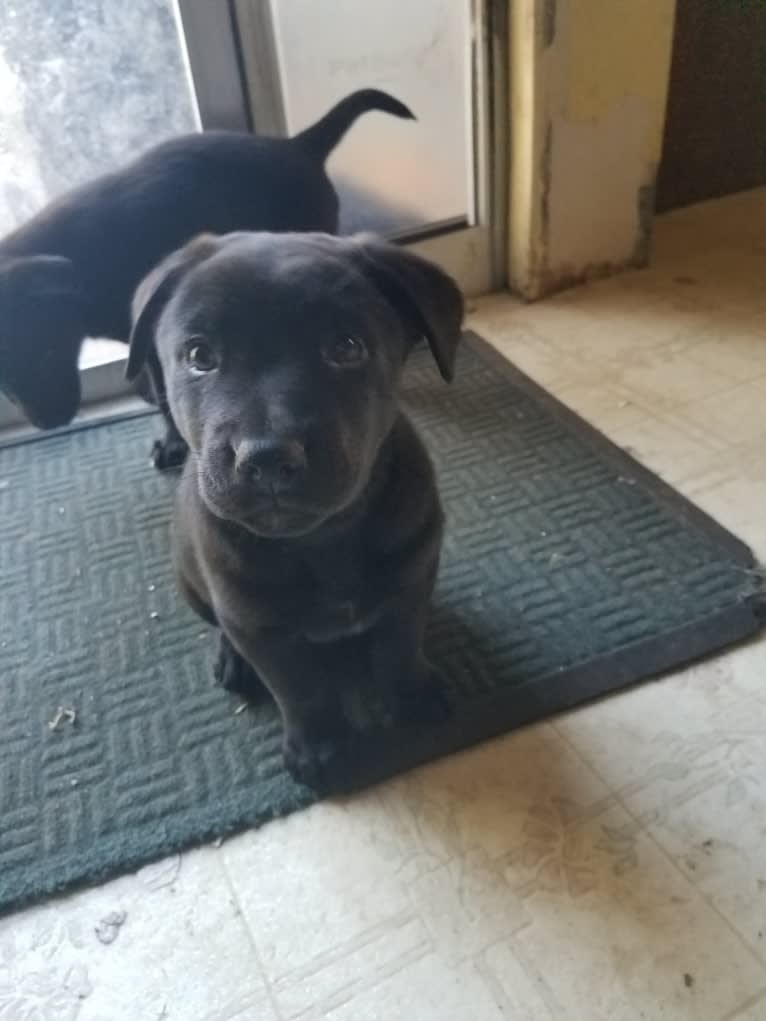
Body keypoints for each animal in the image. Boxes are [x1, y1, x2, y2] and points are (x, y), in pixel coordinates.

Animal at [0, 89, 414, 467]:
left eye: (45, 353)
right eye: (4, 383)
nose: (49, 423)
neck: (80, 261)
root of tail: (298, 145)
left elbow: (166, 394)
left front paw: (171, 443)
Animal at [127, 231, 461, 788]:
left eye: (346, 348)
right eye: (199, 355)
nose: (266, 457)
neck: (321, 540)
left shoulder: (411, 582)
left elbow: (400, 649)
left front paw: (415, 696)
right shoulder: (259, 626)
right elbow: (300, 690)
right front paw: (318, 747)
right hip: (193, 588)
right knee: (222, 629)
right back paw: (233, 663)